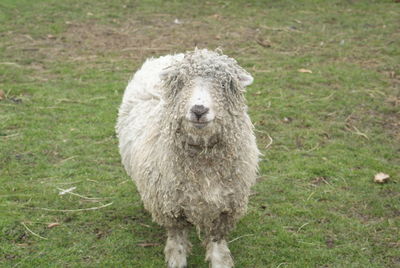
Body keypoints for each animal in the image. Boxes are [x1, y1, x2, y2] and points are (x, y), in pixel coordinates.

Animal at [115, 48, 260, 268]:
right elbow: (177, 237)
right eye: (181, 83)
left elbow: (217, 239)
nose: (199, 110)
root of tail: (171, 55)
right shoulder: (170, 204)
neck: (203, 160)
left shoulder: (226, 205)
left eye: (225, 84)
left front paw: (220, 261)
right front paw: (177, 260)